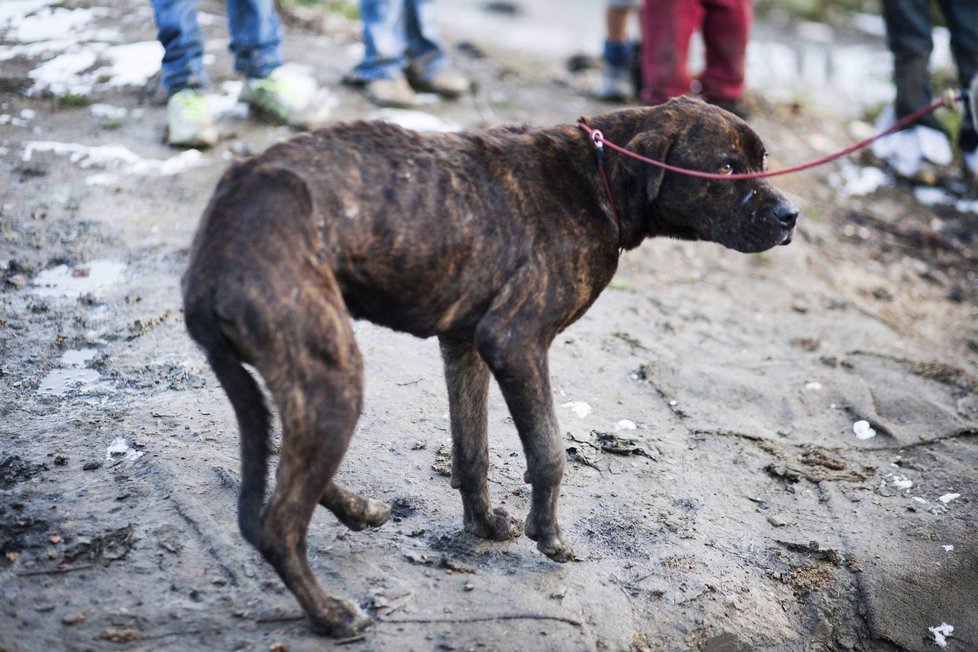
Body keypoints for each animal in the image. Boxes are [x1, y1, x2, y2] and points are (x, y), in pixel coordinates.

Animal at [181, 97, 792, 636]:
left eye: (763, 160)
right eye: (725, 168)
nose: (792, 215)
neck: (596, 176)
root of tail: (216, 240)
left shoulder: (464, 344)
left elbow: (472, 450)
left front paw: (484, 524)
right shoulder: (516, 341)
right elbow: (549, 451)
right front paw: (548, 534)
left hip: (303, 377)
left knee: (282, 457)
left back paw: (360, 512)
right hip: (333, 377)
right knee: (278, 523)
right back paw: (330, 614)